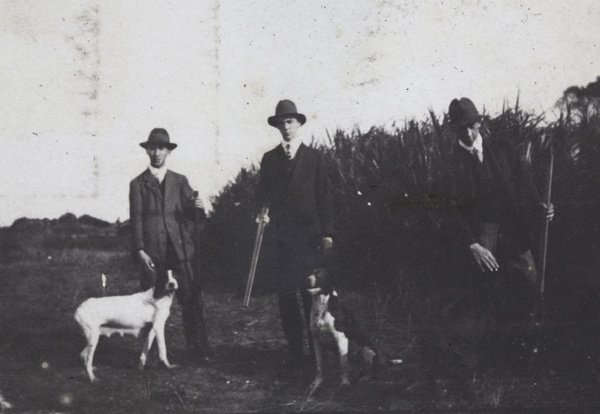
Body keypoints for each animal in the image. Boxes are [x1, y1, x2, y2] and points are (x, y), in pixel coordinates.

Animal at [308, 268, 378, 398]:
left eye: (319, 274)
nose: (307, 279)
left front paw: (344, 384)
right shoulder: (317, 342)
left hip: (367, 350)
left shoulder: (341, 339)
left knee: (370, 371)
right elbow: (319, 366)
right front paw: (317, 383)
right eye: (312, 273)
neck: (321, 306)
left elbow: (343, 365)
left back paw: (365, 378)